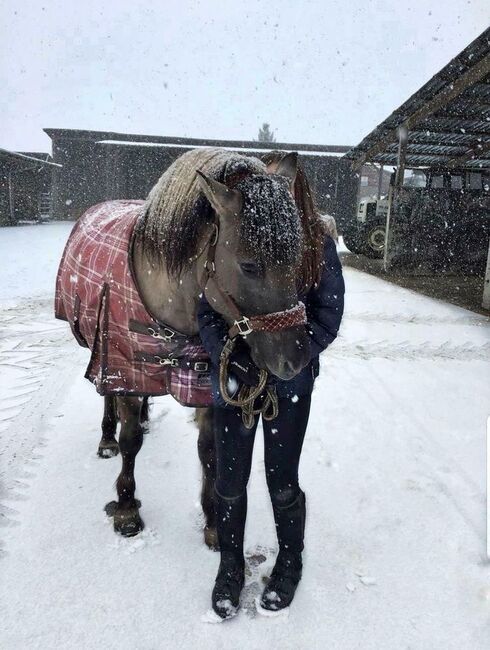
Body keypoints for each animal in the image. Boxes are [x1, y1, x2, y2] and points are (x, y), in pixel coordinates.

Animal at [55, 147, 308, 540]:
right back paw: (107, 438)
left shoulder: (203, 382)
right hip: (105, 358)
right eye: (249, 266)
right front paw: (126, 508)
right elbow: (130, 441)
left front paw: (214, 523)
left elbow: (208, 450)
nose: (293, 360)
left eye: (297, 258)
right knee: (108, 397)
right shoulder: (126, 369)